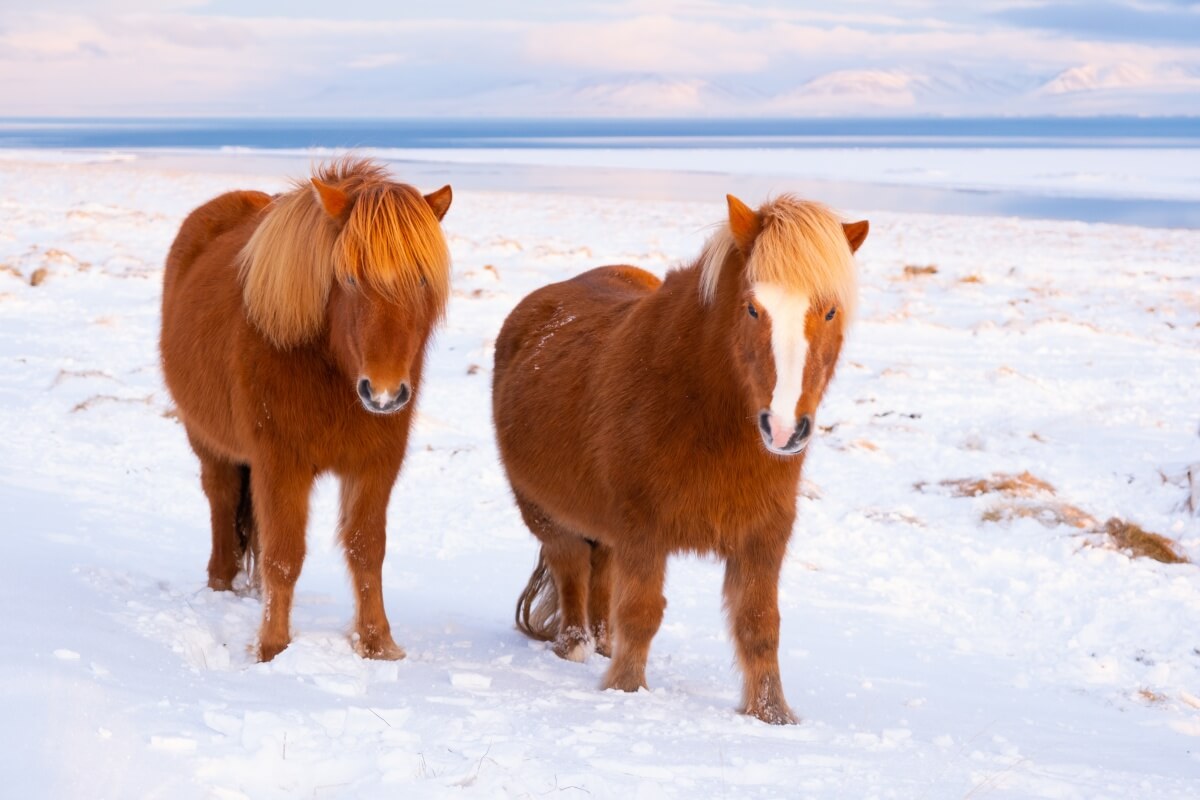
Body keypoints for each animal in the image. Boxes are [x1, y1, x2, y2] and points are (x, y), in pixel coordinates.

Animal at [160, 157, 453, 662]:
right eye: (350, 278)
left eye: (420, 278)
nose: (384, 394)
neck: (330, 368)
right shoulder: (282, 464)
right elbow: (284, 554)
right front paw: (272, 647)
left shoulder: (376, 464)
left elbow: (366, 549)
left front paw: (377, 643)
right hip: (209, 442)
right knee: (221, 502)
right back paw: (221, 586)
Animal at [493, 194, 867, 724]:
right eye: (752, 308)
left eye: (831, 311)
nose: (783, 428)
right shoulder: (642, 529)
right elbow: (641, 612)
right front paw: (625, 693)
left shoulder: (764, 535)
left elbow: (759, 625)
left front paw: (771, 715)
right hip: (547, 515)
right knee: (572, 570)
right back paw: (576, 648)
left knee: (601, 573)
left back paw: (602, 647)